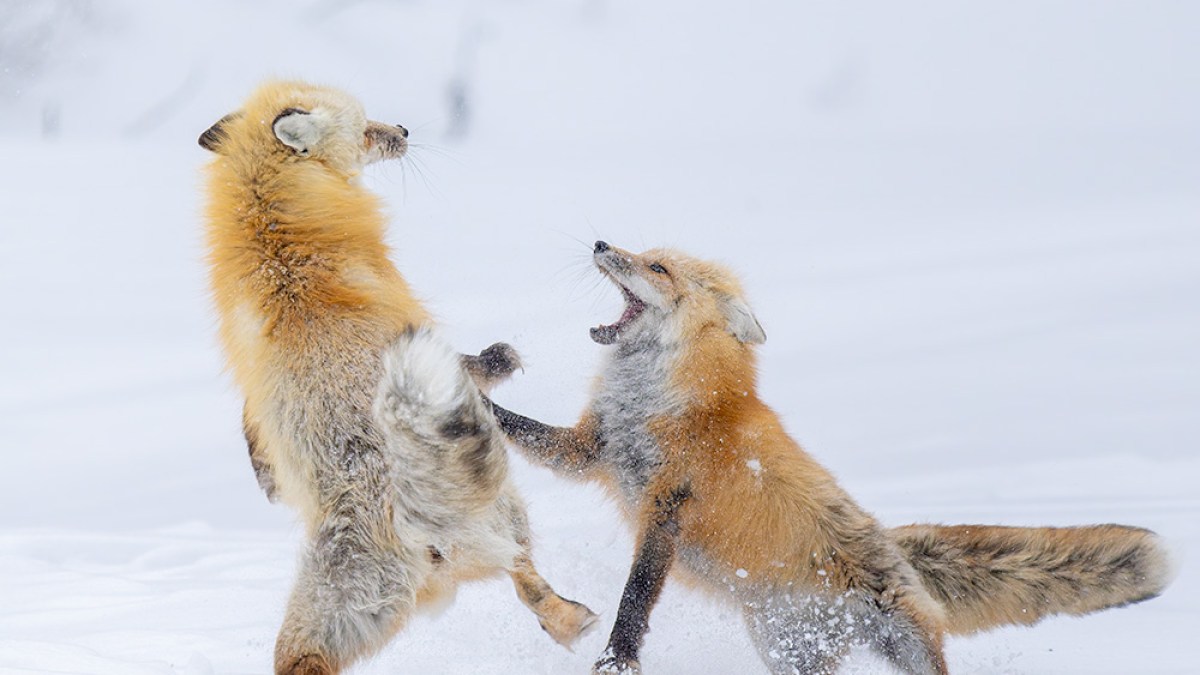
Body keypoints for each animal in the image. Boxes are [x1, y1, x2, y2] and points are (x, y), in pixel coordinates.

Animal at [198, 80, 595, 675]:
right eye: (366, 127)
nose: (404, 131)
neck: (277, 236)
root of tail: (406, 520)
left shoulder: (252, 381)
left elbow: (252, 433)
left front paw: (266, 482)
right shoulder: (412, 325)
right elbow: (473, 367)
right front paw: (499, 359)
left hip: (321, 621)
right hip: (504, 510)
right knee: (524, 574)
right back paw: (574, 619)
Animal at [489, 241, 1174, 675]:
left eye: (656, 266)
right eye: (639, 251)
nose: (602, 240)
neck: (661, 401)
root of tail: (894, 545)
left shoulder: (667, 503)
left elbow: (636, 595)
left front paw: (618, 658)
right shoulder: (589, 451)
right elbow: (516, 427)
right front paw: (471, 392)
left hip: (905, 643)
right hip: (788, 652)